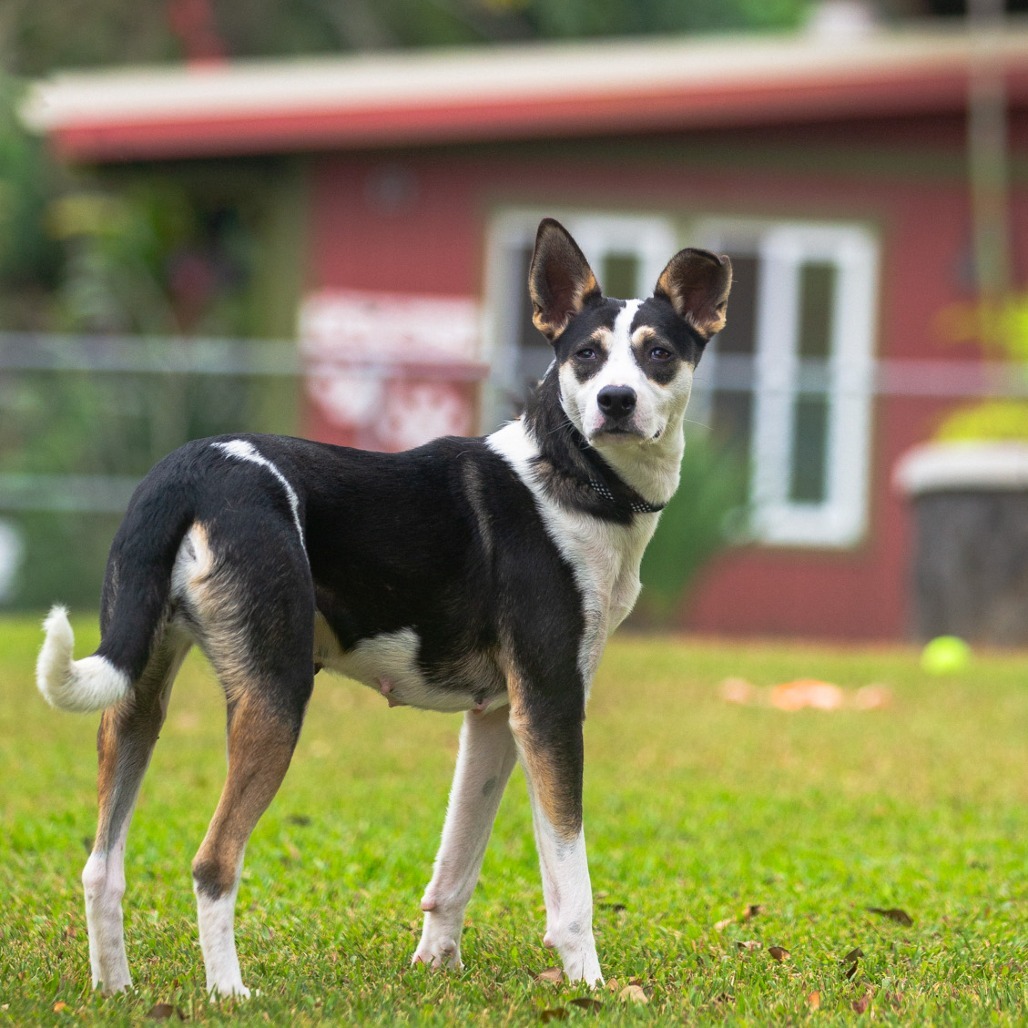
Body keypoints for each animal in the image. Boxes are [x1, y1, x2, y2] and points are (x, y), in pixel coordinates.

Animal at [36, 216, 727, 995]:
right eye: (587, 355)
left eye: (659, 354)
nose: (616, 402)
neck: (573, 470)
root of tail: (187, 472)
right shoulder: (550, 708)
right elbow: (570, 881)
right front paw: (589, 986)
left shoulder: (496, 718)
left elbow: (457, 863)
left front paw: (436, 965)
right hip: (277, 696)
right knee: (213, 861)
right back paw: (229, 992)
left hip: (136, 700)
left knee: (101, 865)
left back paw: (115, 989)